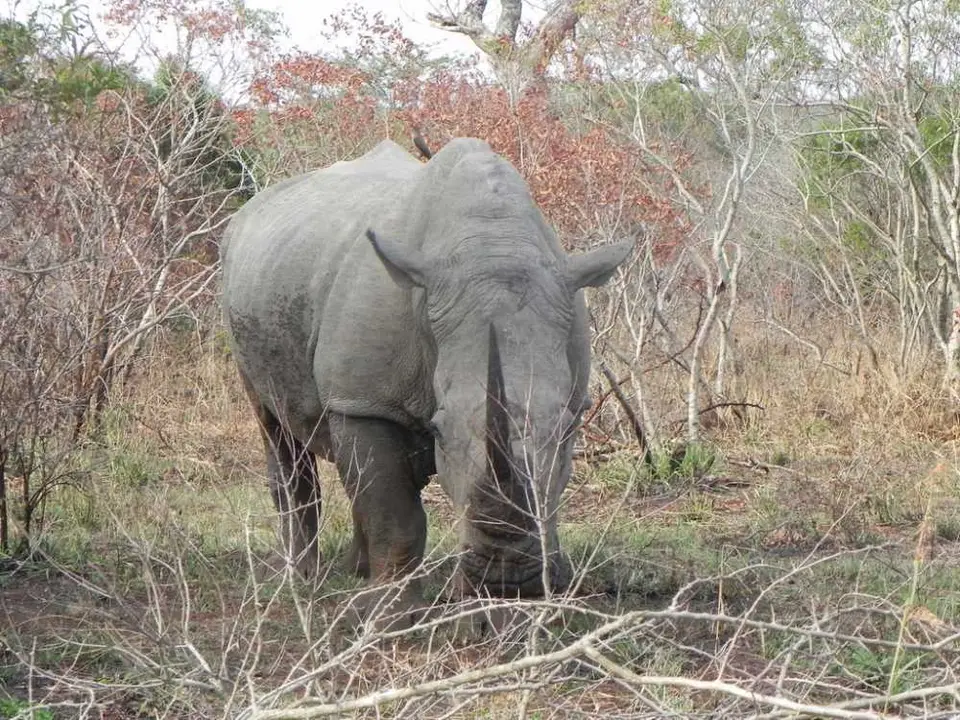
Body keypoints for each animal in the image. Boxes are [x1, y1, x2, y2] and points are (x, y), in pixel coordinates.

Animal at [221, 137, 631, 610]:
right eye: (439, 431)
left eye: (566, 431)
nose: (508, 580)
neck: (493, 240)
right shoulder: (365, 401)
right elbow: (395, 515)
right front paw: (393, 613)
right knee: (276, 429)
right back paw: (303, 579)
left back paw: (356, 572)